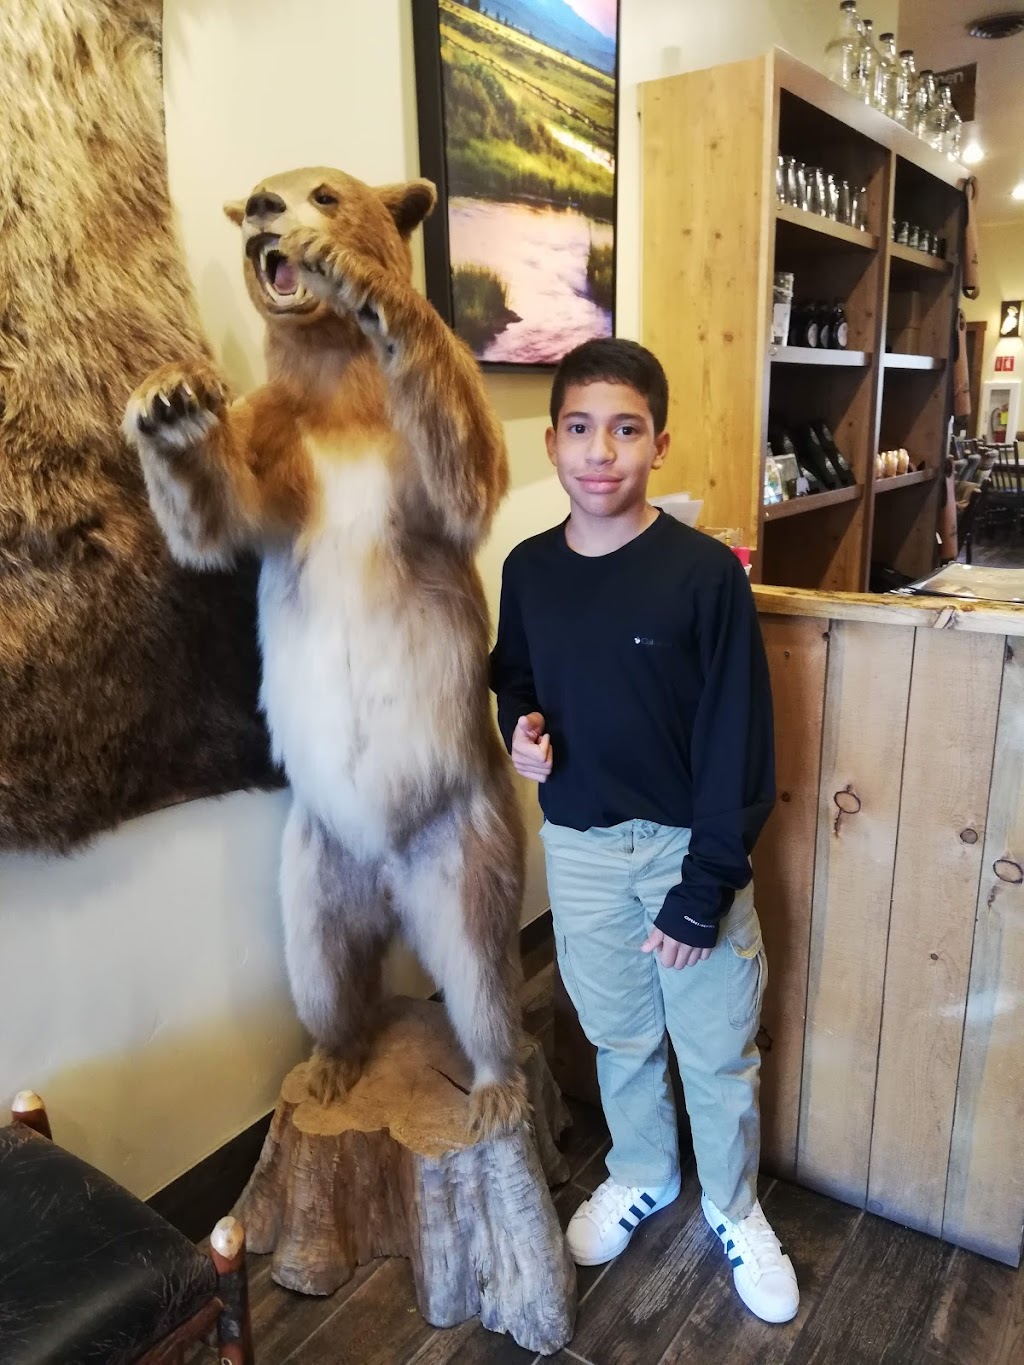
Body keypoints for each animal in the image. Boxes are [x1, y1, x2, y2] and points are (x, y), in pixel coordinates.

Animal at [122, 167, 527, 1135]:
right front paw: (168, 399)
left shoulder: (407, 449)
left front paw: (363, 281)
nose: (265, 211)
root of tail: (388, 881)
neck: (340, 390)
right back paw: (329, 1065)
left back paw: (496, 1083)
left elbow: (465, 471)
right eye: (256, 192)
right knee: (324, 970)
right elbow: (215, 516)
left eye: (326, 193)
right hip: (309, 866)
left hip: (468, 838)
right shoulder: (279, 443)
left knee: (481, 966)